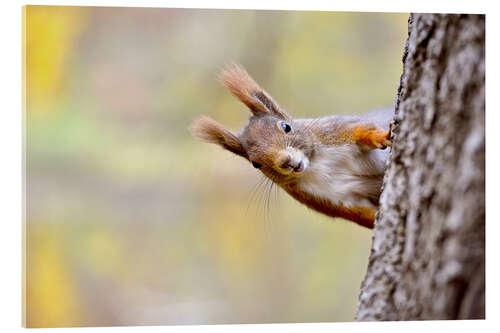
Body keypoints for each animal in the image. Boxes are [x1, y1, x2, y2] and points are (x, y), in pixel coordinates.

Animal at [189, 63, 392, 227]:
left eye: (286, 126)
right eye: (255, 164)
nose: (285, 162)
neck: (315, 165)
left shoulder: (331, 131)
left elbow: (361, 129)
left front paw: (381, 136)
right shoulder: (326, 200)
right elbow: (359, 214)